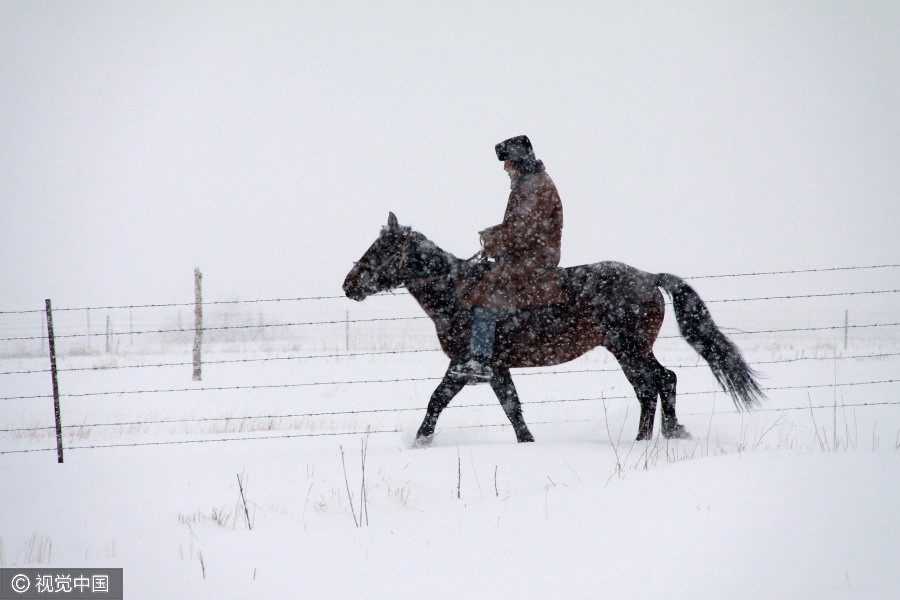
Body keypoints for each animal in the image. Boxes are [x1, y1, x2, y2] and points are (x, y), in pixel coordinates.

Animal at [342, 214, 764, 446]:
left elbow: (437, 401)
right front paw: (528, 444)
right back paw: (657, 436)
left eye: (381, 250)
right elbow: (511, 408)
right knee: (657, 384)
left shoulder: (466, 364)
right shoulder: (494, 368)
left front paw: (418, 444)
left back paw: (656, 437)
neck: (458, 292)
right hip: (627, 349)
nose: (349, 284)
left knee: (657, 383)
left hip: (629, 348)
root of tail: (648, 277)